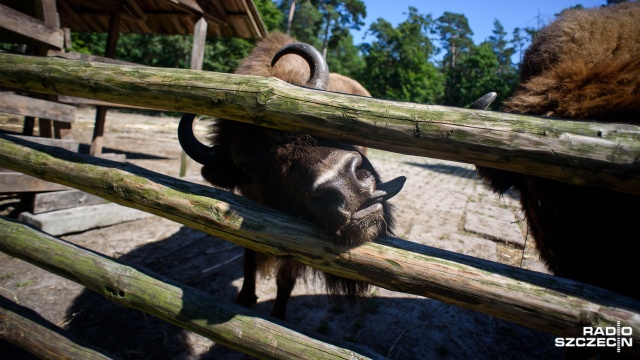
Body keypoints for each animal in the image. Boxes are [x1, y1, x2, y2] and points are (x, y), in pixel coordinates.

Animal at [179, 33, 404, 320]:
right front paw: (245, 298)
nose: (344, 186)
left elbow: (285, 279)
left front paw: (277, 315)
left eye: (318, 124)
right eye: (249, 168)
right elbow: (249, 261)